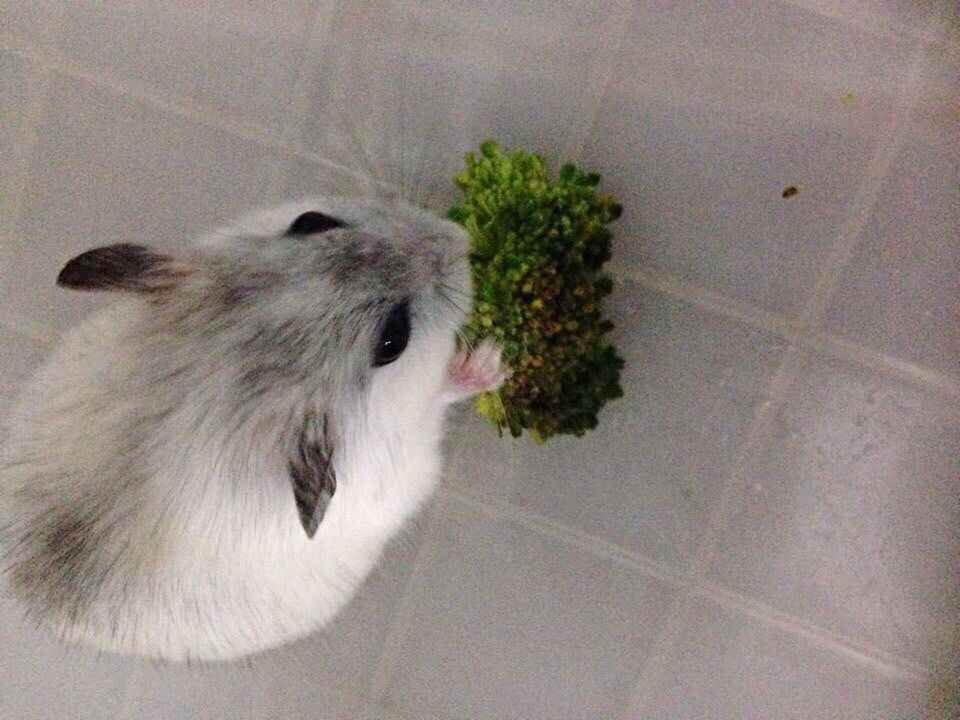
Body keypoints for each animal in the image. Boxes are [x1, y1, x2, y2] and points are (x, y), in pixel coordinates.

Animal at [0, 194, 510, 660]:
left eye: (311, 221)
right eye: (393, 339)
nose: (462, 237)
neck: (227, 372)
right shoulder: (410, 461)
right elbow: (441, 394)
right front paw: (493, 360)